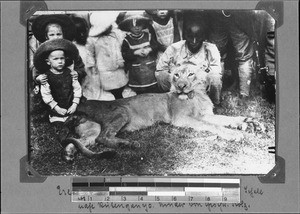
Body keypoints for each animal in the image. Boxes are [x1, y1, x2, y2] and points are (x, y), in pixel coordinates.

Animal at [62, 64, 260, 161]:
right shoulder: (181, 119)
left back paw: (69, 154)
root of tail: (79, 107)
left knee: (81, 141)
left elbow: (225, 118)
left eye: (190, 74)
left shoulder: (207, 114)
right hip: (122, 111)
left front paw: (249, 122)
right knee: (102, 138)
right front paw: (234, 134)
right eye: (176, 75)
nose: (181, 86)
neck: (197, 94)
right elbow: (211, 125)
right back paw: (130, 144)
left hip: (90, 129)